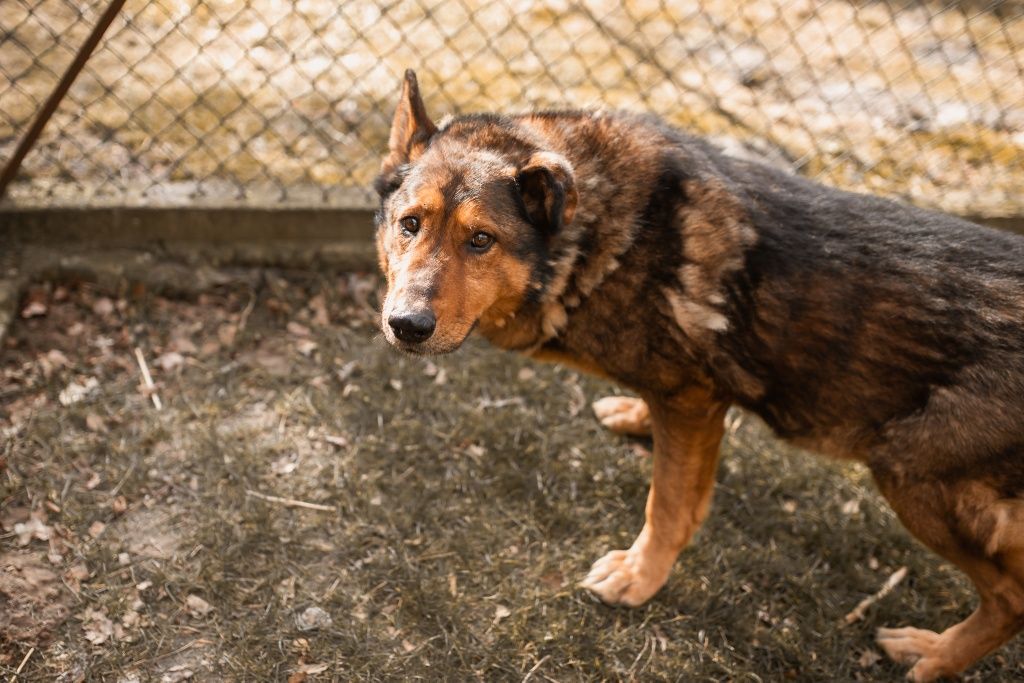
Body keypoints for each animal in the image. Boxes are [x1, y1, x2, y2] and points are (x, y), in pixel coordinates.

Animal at [374, 70, 1024, 683]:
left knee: (1010, 597)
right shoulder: (695, 404)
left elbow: (667, 506)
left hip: (914, 480)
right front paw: (636, 416)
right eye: (410, 225)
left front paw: (639, 576)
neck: (598, 236)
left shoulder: (689, 401)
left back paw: (935, 655)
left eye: (481, 240)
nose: (405, 325)